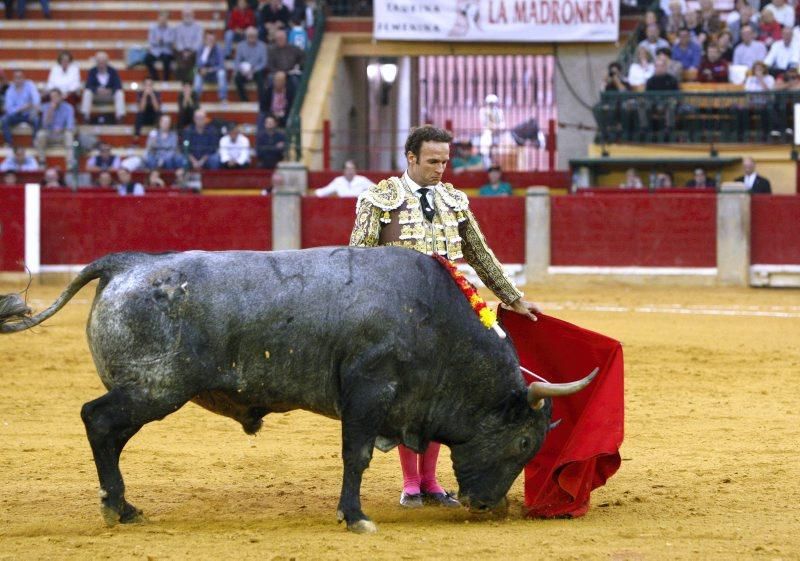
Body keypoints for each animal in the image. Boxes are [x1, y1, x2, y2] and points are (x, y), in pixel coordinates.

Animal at [0, 247, 592, 532]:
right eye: (524, 443)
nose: (487, 506)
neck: (431, 320)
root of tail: (127, 264)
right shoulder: (367, 394)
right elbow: (356, 456)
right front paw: (355, 517)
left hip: (146, 392)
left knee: (110, 435)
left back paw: (124, 507)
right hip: (152, 388)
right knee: (98, 421)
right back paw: (115, 509)